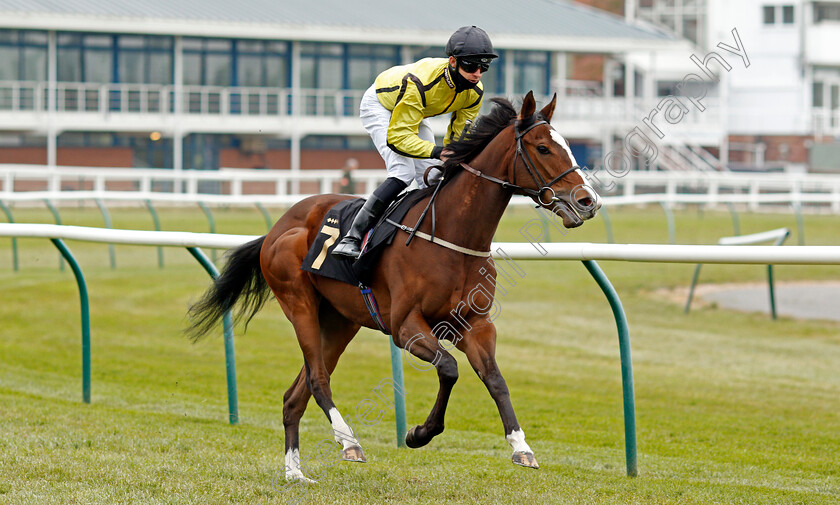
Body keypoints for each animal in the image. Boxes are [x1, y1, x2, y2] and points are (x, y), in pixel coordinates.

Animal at [187, 90, 600, 480]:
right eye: (543, 147)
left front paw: (521, 447)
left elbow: (495, 379)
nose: (587, 201)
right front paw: (419, 434)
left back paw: (296, 474)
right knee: (318, 380)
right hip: (299, 304)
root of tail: (277, 227)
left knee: (295, 396)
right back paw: (348, 442)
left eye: (567, 144)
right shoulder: (406, 327)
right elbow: (449, 368)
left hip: (340, 322)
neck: (451, 235)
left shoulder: (475, 325)